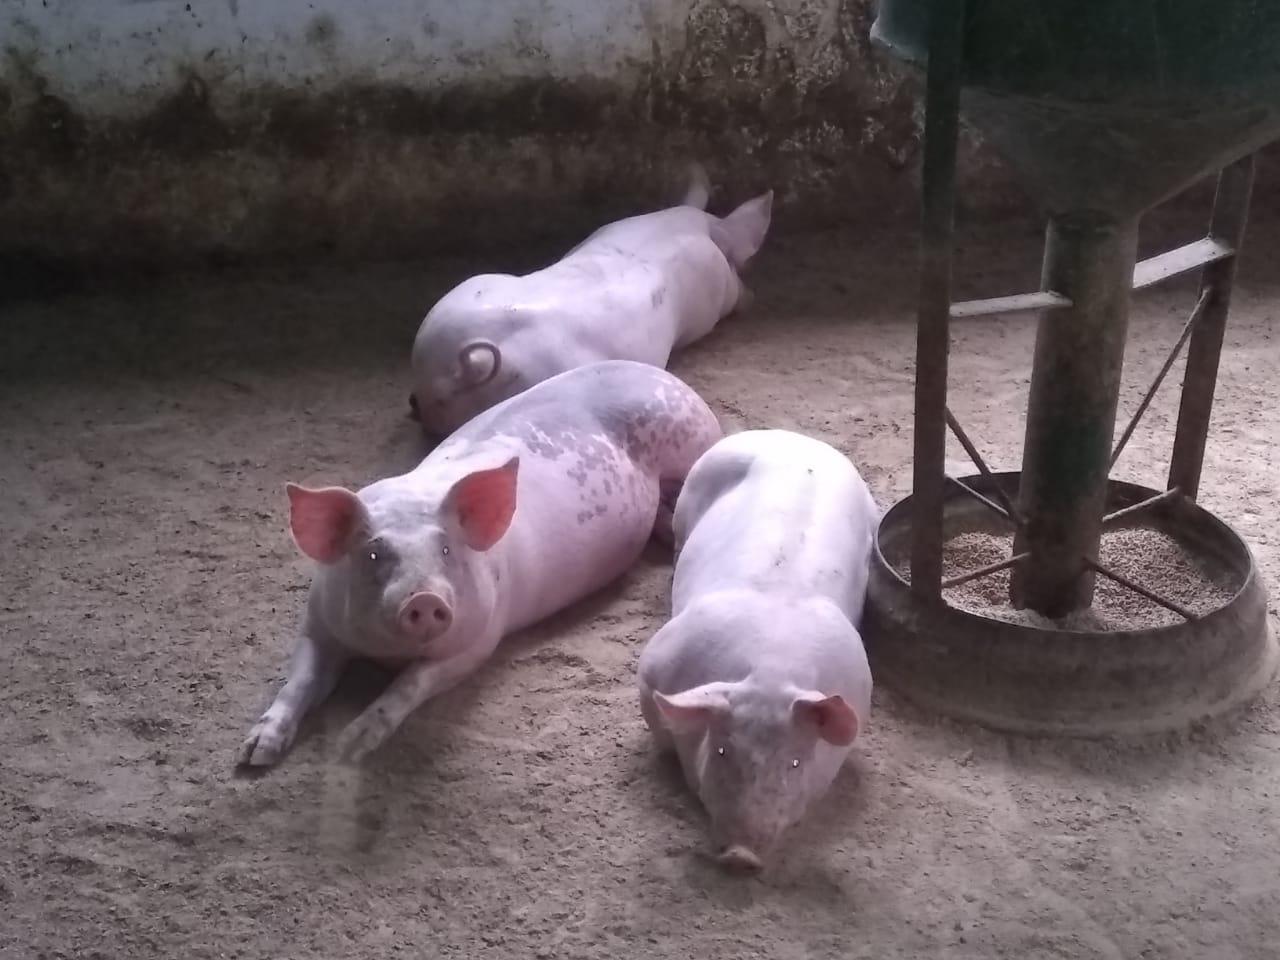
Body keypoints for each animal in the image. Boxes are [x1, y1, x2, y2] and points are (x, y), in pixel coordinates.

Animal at [239, 360, 721, 768]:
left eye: (446, 550)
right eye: (375, 553)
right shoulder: (318, 621)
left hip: (690, 447)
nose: (423, 598)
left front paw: (352, 745)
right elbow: (299, 679)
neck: (385, 654)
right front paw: (253, 755)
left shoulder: (479, 637)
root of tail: (666, 378)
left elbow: (411, 684)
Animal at [636, 429, 879, 871]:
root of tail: (795, 437)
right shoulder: (655, 664)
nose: (741, 855)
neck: (771, 670)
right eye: (722, 750)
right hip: (691, 494)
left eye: (795, 763)